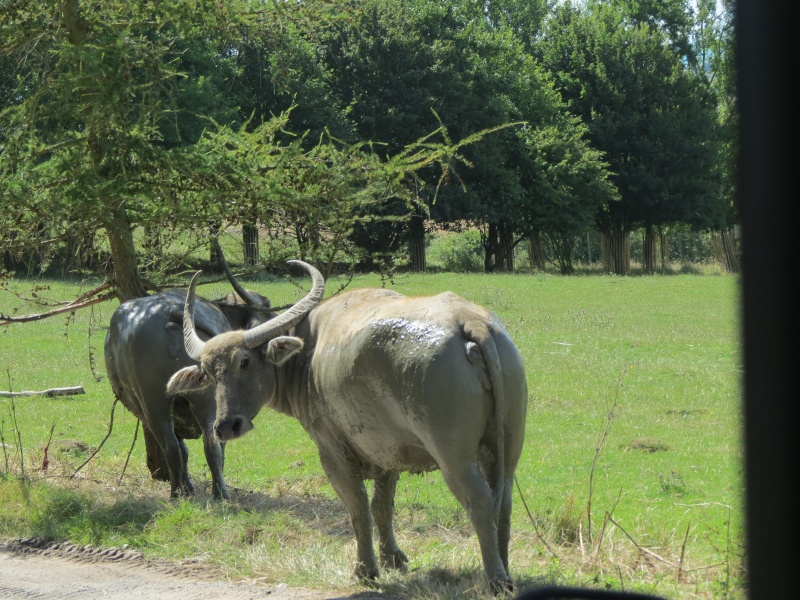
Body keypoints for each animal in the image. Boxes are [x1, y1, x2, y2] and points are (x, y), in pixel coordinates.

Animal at [103, 245, 290, 502]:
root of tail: (168, 311)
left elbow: (183, 449)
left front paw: (189, 487)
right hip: (205, 399)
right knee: (212, 442)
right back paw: (218, 493)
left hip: (154, 403)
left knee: (172, 445)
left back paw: (178, 493)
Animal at [166, 262, 528, 592]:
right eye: (209, 374)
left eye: (244, 361)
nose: (227, 426)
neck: (308, 355)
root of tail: (469, 321)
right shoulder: (386, 452)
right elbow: (382, 507)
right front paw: (393, 559)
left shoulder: (333, 454)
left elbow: (358, 508)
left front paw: (365, 570)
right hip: (507, 446)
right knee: (504, 499)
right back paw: (505, 565)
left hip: (455, 459)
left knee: (479, 500)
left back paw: (496, 579)